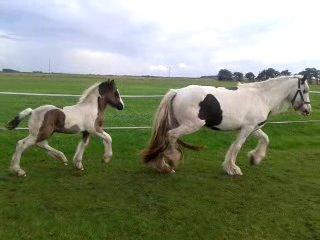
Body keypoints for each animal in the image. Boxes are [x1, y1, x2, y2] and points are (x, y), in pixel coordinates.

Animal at [142, 75, 310, 174]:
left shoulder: (253, 127)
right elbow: (237, 146)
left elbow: (265, 139)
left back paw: (161, 165)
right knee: (171, 136)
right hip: (191, 125)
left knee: (163, 139)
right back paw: (172, 160)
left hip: (176, 123)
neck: (262, 97)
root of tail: (176, 91)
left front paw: (255, 158)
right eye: (305, 90)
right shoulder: (247, 128)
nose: (308, 110)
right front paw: (233, 168)